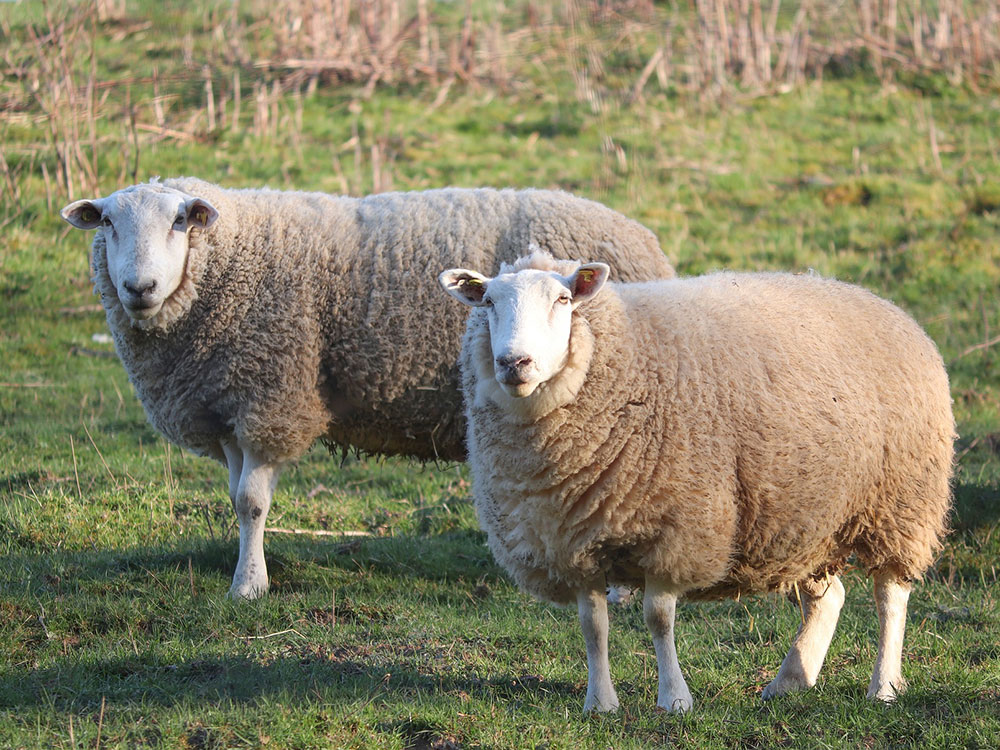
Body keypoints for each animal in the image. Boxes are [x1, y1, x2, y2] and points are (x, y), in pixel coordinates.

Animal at [59, 178, 674, 599]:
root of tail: (647, 241)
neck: (227, 266)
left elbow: (253, 502)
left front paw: (250, 587)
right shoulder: (231, 403)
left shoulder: (271, 395)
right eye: (107, 224)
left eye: (180, 222)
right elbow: (236, 498)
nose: (139, 287)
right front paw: (245, 571)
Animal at [439, 251, 954, 713]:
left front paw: (674, 699)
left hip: (901, 500)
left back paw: (883, 686)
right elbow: (592, 625)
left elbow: (658, 618)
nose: (514, 363)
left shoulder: (676, 528)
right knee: (828, 598)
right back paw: (791, 679)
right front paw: (600, 703)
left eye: (563, 300)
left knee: (890, 595)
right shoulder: (572, 542)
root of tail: (881, 302)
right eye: (488, 302)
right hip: (809, 515)